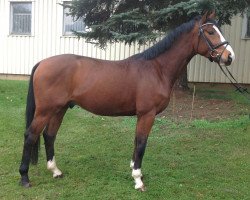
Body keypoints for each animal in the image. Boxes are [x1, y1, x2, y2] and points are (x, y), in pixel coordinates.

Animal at [19, 11, 234, 192]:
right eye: (210, 32)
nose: (229, 56)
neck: (156, 69)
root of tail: (42, 63)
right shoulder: (147, 114)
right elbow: (141, 144)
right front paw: (138, 179)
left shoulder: (141, 115)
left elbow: (136, 142)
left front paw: (133, 170)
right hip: (45, 110)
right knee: (31, 136)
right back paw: (24, 178)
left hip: (60, 109)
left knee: (49, 135)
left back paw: (55, 171)